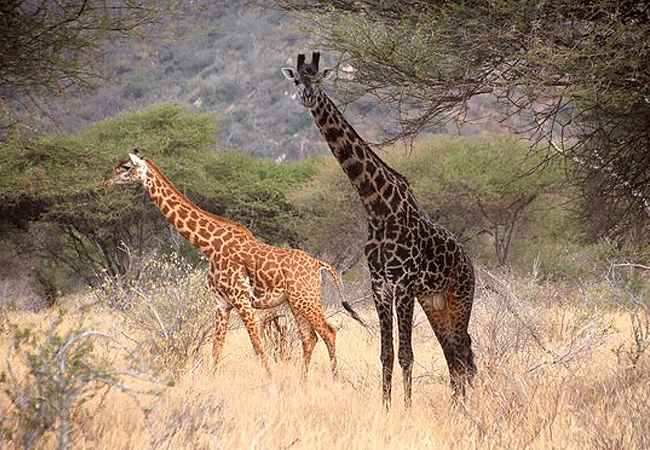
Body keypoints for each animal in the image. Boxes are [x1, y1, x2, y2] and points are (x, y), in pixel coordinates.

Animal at [104, 151, 365, 378]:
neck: (208, 246)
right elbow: (217, 348)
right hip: (296, 302)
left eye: (126, 167)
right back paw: (303, 382)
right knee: (309, 337)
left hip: (306, 300)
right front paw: (213, 382)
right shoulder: (222, 303)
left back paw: (334, 380)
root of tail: (320, 264)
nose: (105, 180)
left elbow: (258, 345)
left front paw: (272, 384)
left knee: (328, 332)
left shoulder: (242, 299)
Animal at [283, 52, 476, 406]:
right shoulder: (380, 287)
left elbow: (406, 354)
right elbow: (386, 354)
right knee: (454, 352)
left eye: (317, 79)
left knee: (463, 350)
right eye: (297, 80)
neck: (377, 208)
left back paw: (467, 403)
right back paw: (460, 404)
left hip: (459, 296)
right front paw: (386, 408)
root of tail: (468, 261)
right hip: (435, 302)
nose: (307, 97)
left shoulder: (404, 285)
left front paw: (408, 409)